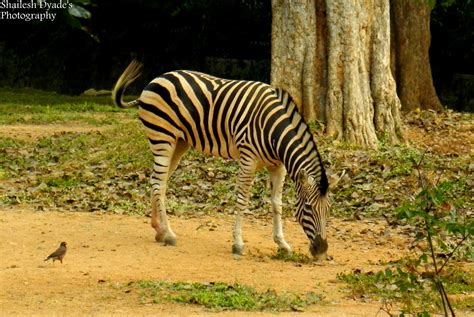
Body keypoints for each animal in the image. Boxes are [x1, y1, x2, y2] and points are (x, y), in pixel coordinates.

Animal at [113, 60, 332, 258]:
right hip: (162, 138)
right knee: (158, 183)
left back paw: (159, 230)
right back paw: (168, 234)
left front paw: (282, 244)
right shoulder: (248, 159)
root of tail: (156, 79)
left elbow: (277, 203)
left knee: (159, 181)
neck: (274, 132)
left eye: (329, 209)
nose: (321, 250)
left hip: (179, 143)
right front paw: (238, 244)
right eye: (309, 208)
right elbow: (242, 200)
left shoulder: (278, 166)